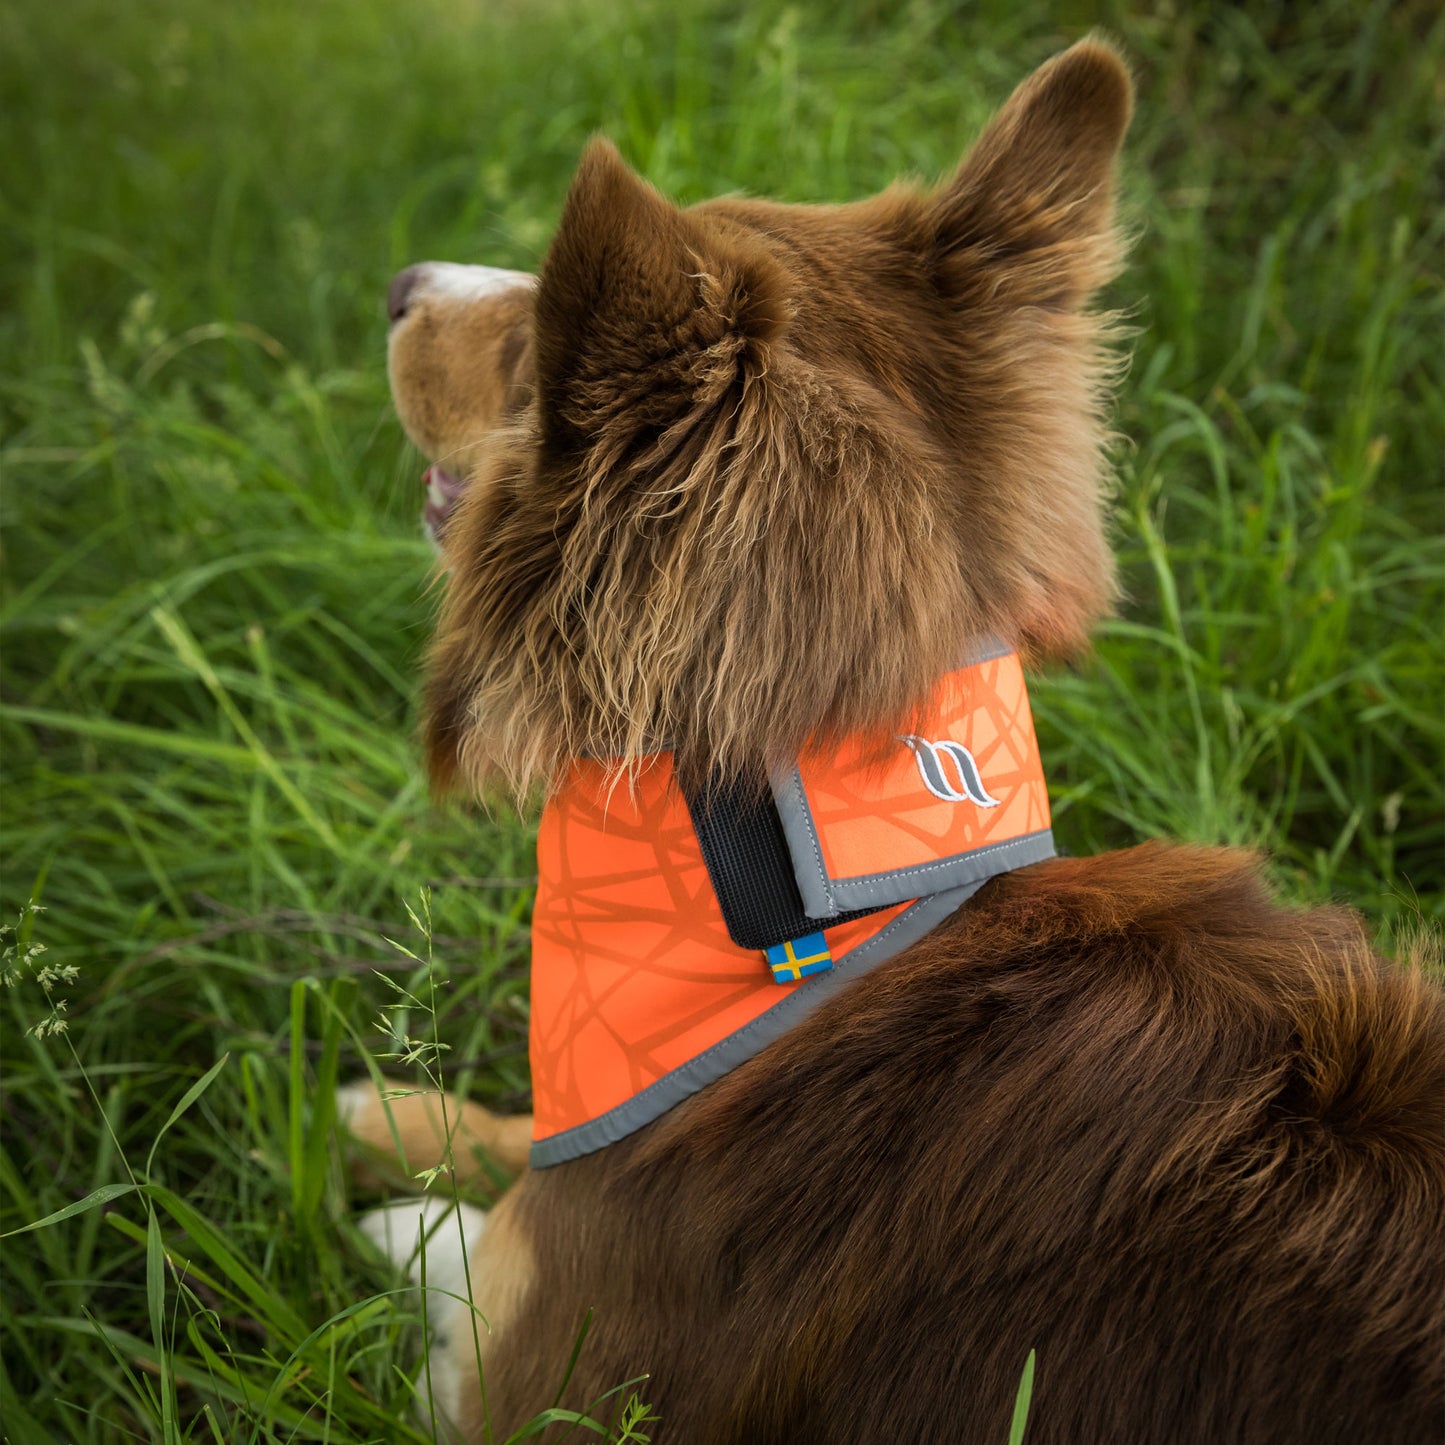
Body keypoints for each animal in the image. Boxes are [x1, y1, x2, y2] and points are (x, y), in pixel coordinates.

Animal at [346, 39, 1445, 1439]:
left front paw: (402, 1203)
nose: (400, 283)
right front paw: (386, 1109)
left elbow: (481, 1245)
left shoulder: (539, 1387)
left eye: (532, 341)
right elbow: (527, 1135)